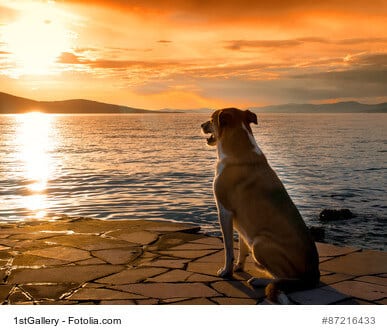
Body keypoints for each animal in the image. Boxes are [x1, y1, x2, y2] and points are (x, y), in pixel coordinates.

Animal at [202, 107, 320, 302]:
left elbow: (228, 248)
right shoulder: (240, 220)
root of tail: (314, 275)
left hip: (260, 244)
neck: (238, 149)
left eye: (211, 119)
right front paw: (239, 267)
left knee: (284, 278)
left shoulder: (225, 211)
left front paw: (226, 271)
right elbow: (241, 246)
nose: (201, 125)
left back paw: (260, 280)